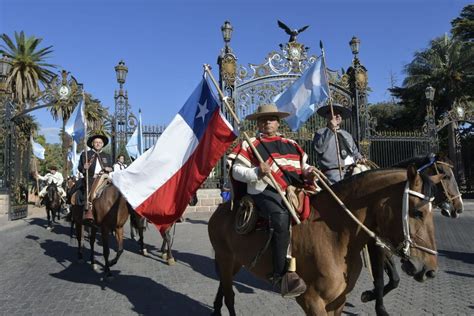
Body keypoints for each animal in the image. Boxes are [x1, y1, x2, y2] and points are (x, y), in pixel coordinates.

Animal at [208, 165, 440, 316]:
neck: (335, 235)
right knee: (229, 295)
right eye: (418, 212)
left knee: (223, 287)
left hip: (236, 261)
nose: (429, 270)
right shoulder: (312, 301)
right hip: (225, 258)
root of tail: (223, 208)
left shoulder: (338, 300)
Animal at [360, 152, 462, 314]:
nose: (459, 207)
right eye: (445, 175)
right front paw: (376, 302)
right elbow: (380, 279)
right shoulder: (376, 245)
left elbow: (394, 280)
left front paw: (371, 295)